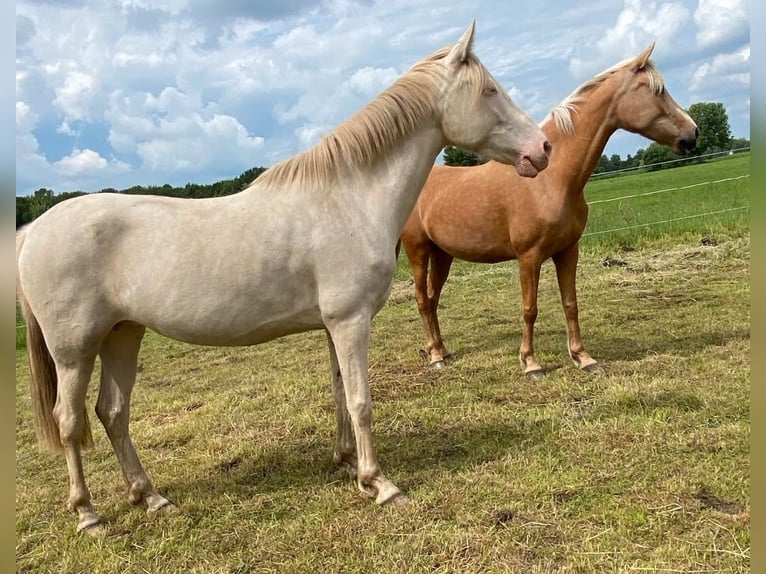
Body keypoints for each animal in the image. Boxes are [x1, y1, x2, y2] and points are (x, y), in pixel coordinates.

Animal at [13, 22, 552, 536]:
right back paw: (88, 515)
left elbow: (339, 392)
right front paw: (381, 484)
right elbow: (361, 400)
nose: (543, 148)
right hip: (74, 350)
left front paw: (348, 464)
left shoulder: (334, 326)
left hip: (123, 335)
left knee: (113, 413)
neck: (350, 198)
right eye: (489, 90)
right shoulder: (351, 321)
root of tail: (33, 231)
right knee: (69, 422)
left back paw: (151, 498)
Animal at [402, 44, 704, 378]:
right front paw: (531, 363)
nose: (693, 133)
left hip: (443, 254)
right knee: (422, 300)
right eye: (657, 90)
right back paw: (434, 356)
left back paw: (443, 350)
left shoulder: (568, 251)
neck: (552, 179)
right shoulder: (529, 257)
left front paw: (584, 358)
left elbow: (570, 303)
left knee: (433, 298)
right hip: (418, 251)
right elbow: (530, 309)